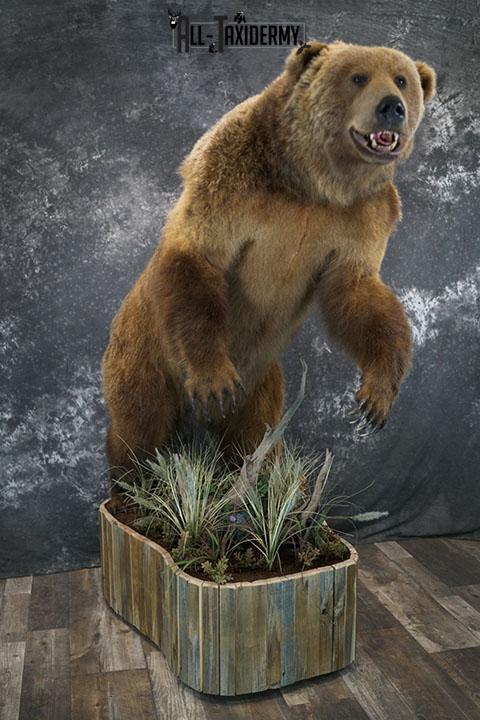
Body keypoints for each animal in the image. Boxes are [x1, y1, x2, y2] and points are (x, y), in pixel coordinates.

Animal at [102, 40, 436, 492]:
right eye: (358, 76)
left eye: (402, 79)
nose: (392, 107)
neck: (314, 183)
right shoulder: (230, 177)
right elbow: (199, 257)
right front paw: (214, 379)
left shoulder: (363, 218)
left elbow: (356, 292)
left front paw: (375, 398)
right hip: (145, 358)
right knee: (140, 427)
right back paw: (132, 489)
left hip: (261, 384)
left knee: (254, 434)